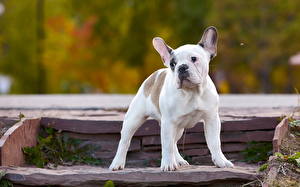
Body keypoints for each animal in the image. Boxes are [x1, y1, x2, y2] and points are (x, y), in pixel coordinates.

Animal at [109, 25, 233, 171]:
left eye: (194, 59)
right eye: (173, 64)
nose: (181, 67)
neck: (192, 93)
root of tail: (154, 76)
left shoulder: (212, 119)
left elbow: (215, 142)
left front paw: (221, 161)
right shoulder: (168, 122)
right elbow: (166, 145)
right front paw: (168, 164)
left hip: (178, 128)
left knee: (174, 142)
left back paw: (178, 160)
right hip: (134, 119)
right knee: (125, 141)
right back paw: (117, 163)